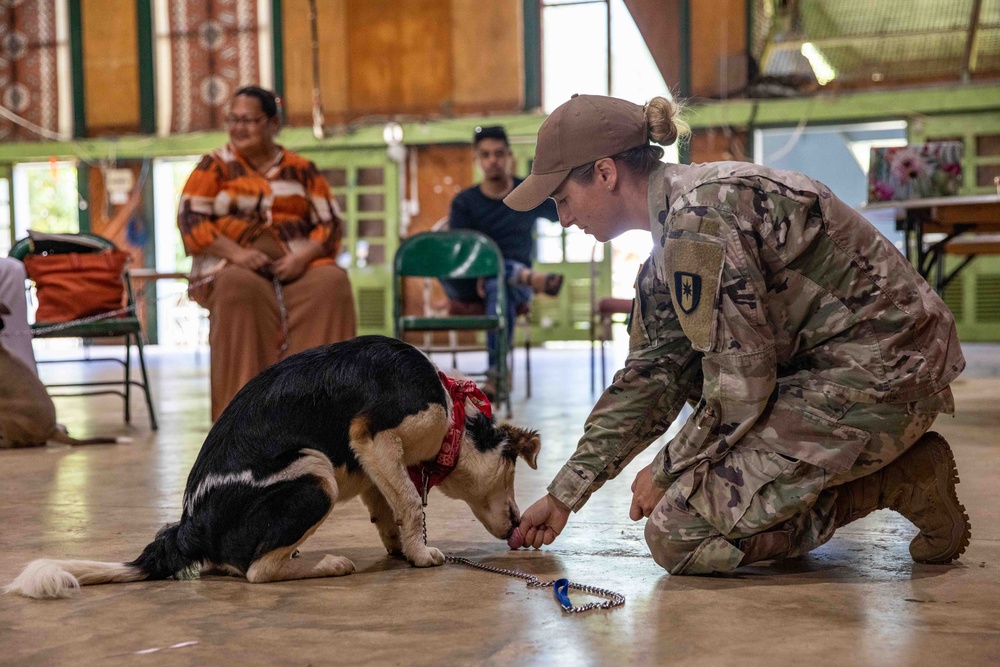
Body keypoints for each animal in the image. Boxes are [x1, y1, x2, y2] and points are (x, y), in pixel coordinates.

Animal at [7, 336, 540, 596]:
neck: (450, 408)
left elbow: (388, 507)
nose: (519, 523)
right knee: (258, 572)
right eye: (513, 471)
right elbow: (409, 501)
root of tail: (187, 529)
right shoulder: (372, 436)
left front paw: (401, 549)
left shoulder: (370, 459)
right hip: (316, 475)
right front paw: (422, 552)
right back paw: (326, 564)